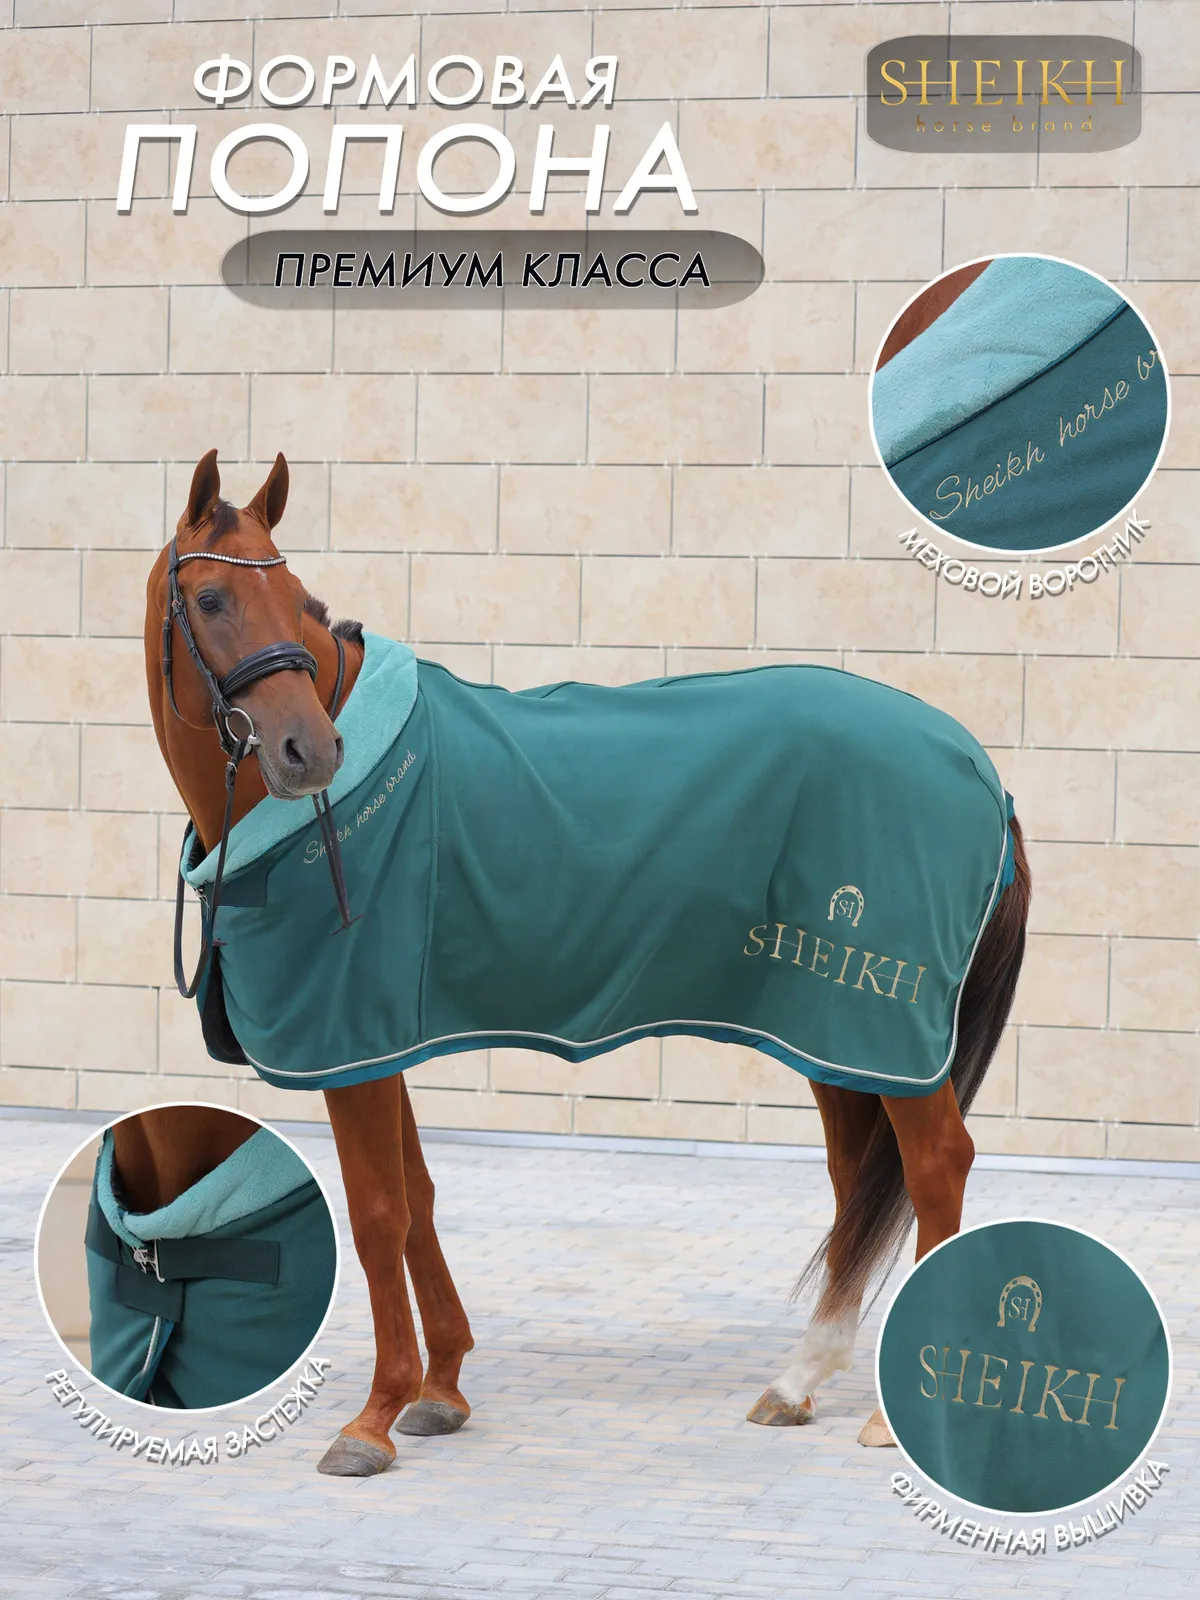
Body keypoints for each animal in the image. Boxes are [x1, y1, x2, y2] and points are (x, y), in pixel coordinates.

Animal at [144, 448, 1031, 1475]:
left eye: (292, 597)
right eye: (212, 598)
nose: (309, 751)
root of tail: (977, 766)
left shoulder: (352, 1041)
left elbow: (375, 1214)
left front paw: (372, 1418)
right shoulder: (383, 1040)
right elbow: (419, 1198)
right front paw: (442, 1390)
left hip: (886, 1025)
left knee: (935, 1167)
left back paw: (892, 1416)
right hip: (837, 1034)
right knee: (857, 1181)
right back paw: (798, 1381)